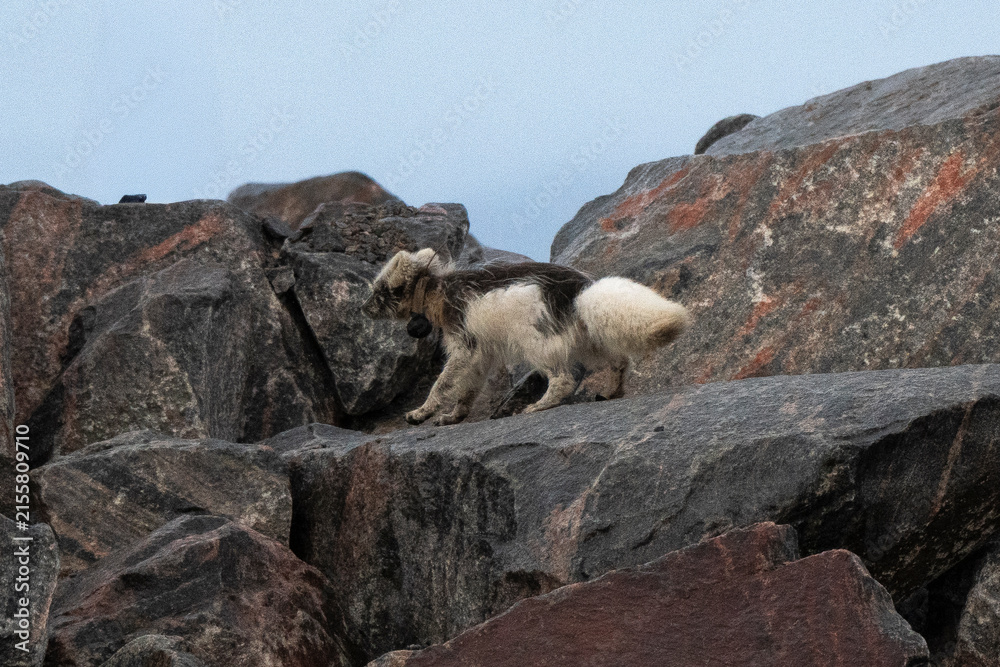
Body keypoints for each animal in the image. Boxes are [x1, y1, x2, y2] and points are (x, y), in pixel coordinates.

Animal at [361, 248, 690, 425]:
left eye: (379, 291)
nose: (362, 308)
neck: (438, 291)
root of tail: (581, 290)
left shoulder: (463, 340)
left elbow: (445, 382)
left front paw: (420, 412)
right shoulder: (483, 351)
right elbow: (469, 386)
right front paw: (453, 416)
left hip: (537, 341)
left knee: (564, 378)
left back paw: (539, 405)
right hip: (587, 338)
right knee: (619, 361)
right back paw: (611, 392)